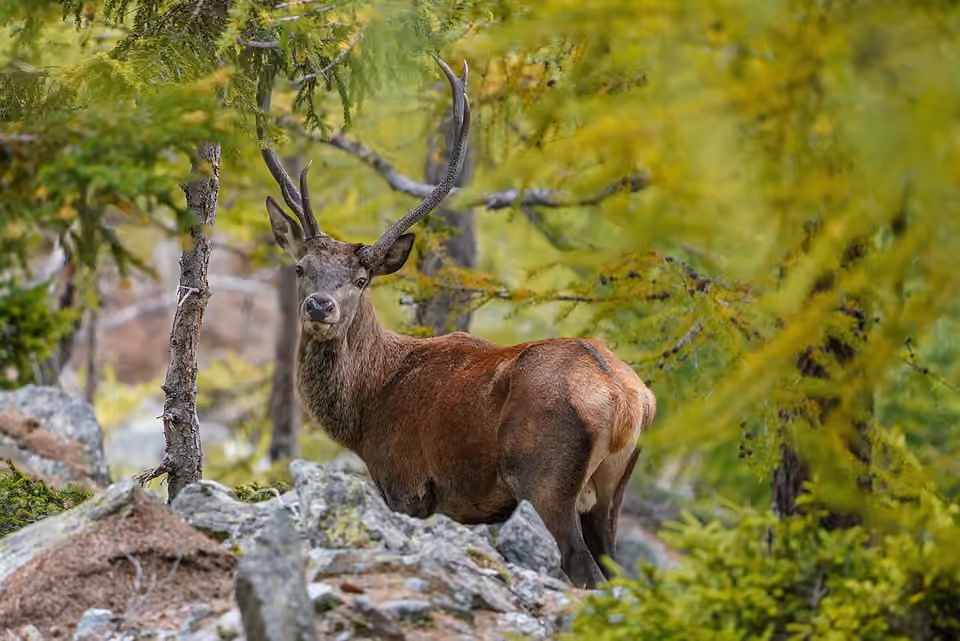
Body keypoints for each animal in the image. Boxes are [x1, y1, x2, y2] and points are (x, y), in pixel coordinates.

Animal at [257, 55, 657, 589]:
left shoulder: (405, 482)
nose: (320, 306)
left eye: (361, 279)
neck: (367, 408)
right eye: (301, 267)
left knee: (582, 568)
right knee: (617, 569)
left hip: (547, 478)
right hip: (612, 488)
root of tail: (628, 399)